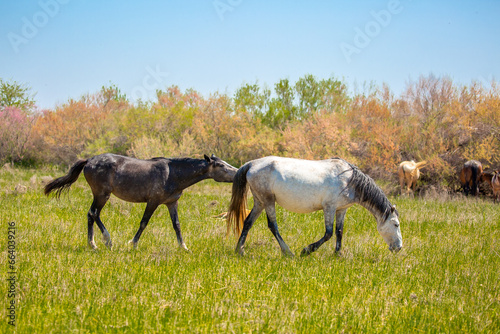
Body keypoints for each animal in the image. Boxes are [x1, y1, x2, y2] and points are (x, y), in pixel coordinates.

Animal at [44, 153, 237, 249]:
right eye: (220, 165)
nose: (237, 172)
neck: (173, 174)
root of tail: (89, 160)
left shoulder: (171, 203)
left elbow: (177, 225)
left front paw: (184, 247)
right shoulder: (153, 201)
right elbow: (144, 222)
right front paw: (133, 244)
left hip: (100, 195)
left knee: (91, 215)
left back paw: (93, 244)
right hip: (102, 194)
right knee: (94, 213)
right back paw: (105, 241)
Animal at [227, 155, 402, 258]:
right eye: (396, 224)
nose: (398, 247)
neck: (349, 180)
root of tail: (251, 164)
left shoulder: (341, 209)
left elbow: (339, 231)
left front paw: (337, 254)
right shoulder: (329, 207)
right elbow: (328, 233)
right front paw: (307, 250)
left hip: (260, 202)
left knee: (248, 222)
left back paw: (239, 250)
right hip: (268, 201)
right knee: (272, 225)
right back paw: (288, 252)